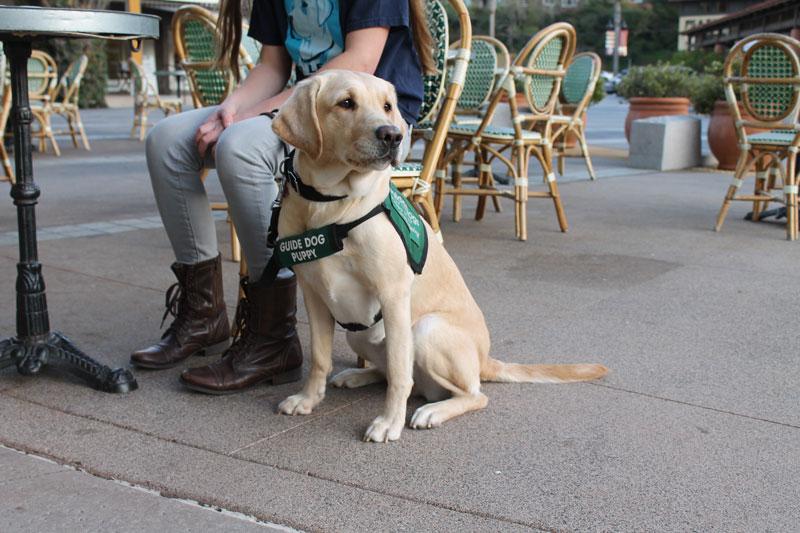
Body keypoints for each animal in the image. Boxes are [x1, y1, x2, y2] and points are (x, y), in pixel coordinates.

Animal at [268, 71, 608, 444]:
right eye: (346, 103)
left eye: (387, 106)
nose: (393, 134)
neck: (329, 206)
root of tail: (485, 359)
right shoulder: (314, 295)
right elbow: (320, 358)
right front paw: (307, 399)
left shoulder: (393, 296)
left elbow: (400, 372)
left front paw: (389, 422)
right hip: (357, 333)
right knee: (401, 376)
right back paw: (358, 376)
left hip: (426, 329)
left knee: (470, 393)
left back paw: (432, 410)